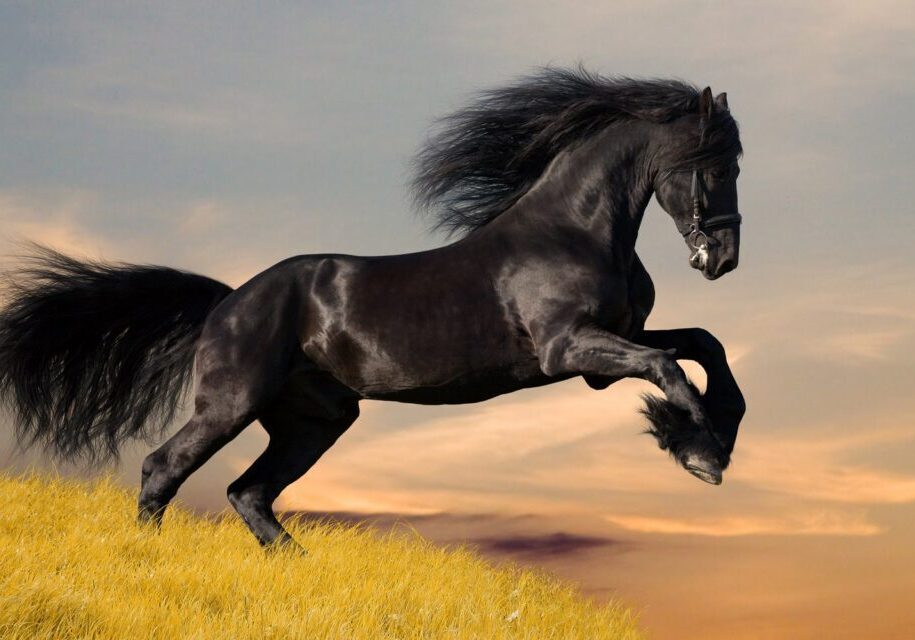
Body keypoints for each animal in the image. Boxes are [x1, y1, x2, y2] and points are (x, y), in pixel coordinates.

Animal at [0, 67, 745, 551]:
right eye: (717, 166)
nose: (723, 259)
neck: (573, 230)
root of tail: (227, 301)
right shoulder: (569, 349)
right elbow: (668, 368)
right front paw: (699, 452)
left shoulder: (607, 347)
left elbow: (703, 345)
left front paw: (710, 438)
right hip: (231, 402)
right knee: (164, 469)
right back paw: (150, 558)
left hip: (315, 419)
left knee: (249, 492)